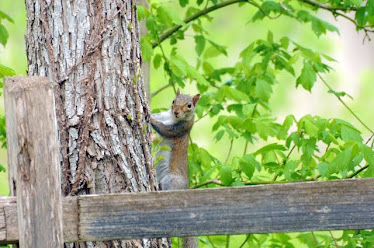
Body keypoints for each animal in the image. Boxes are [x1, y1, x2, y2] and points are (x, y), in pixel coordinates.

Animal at [150, 88, 200, 248]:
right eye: (173, 101)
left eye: (189, 105)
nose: (176, 112)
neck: (171, 118)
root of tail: (185, 189)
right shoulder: (164, 115)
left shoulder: (181, 128)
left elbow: (164, 129)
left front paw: (148, 116)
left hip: (171, 181)